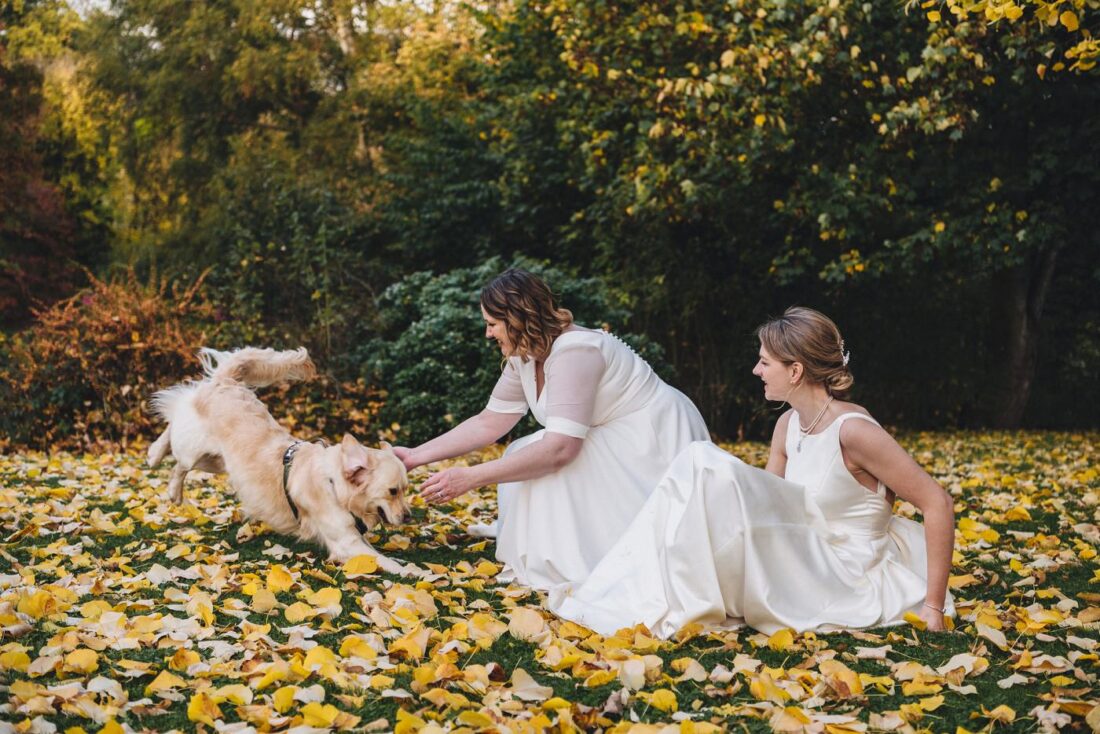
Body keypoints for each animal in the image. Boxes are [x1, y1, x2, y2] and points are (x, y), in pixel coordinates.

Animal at [145, 347, 415, 576]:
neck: (334, 485)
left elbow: (379, 554)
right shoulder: (345, 542)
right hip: (194, 451)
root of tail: (226, 382)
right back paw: (159, 463)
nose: (409, 517)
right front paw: (414, 571)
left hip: (216, 462)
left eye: (405, 490)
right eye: (392, 491)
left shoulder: (354, 536)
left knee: (176, 446)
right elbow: (383, 560)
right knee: (176, 441)